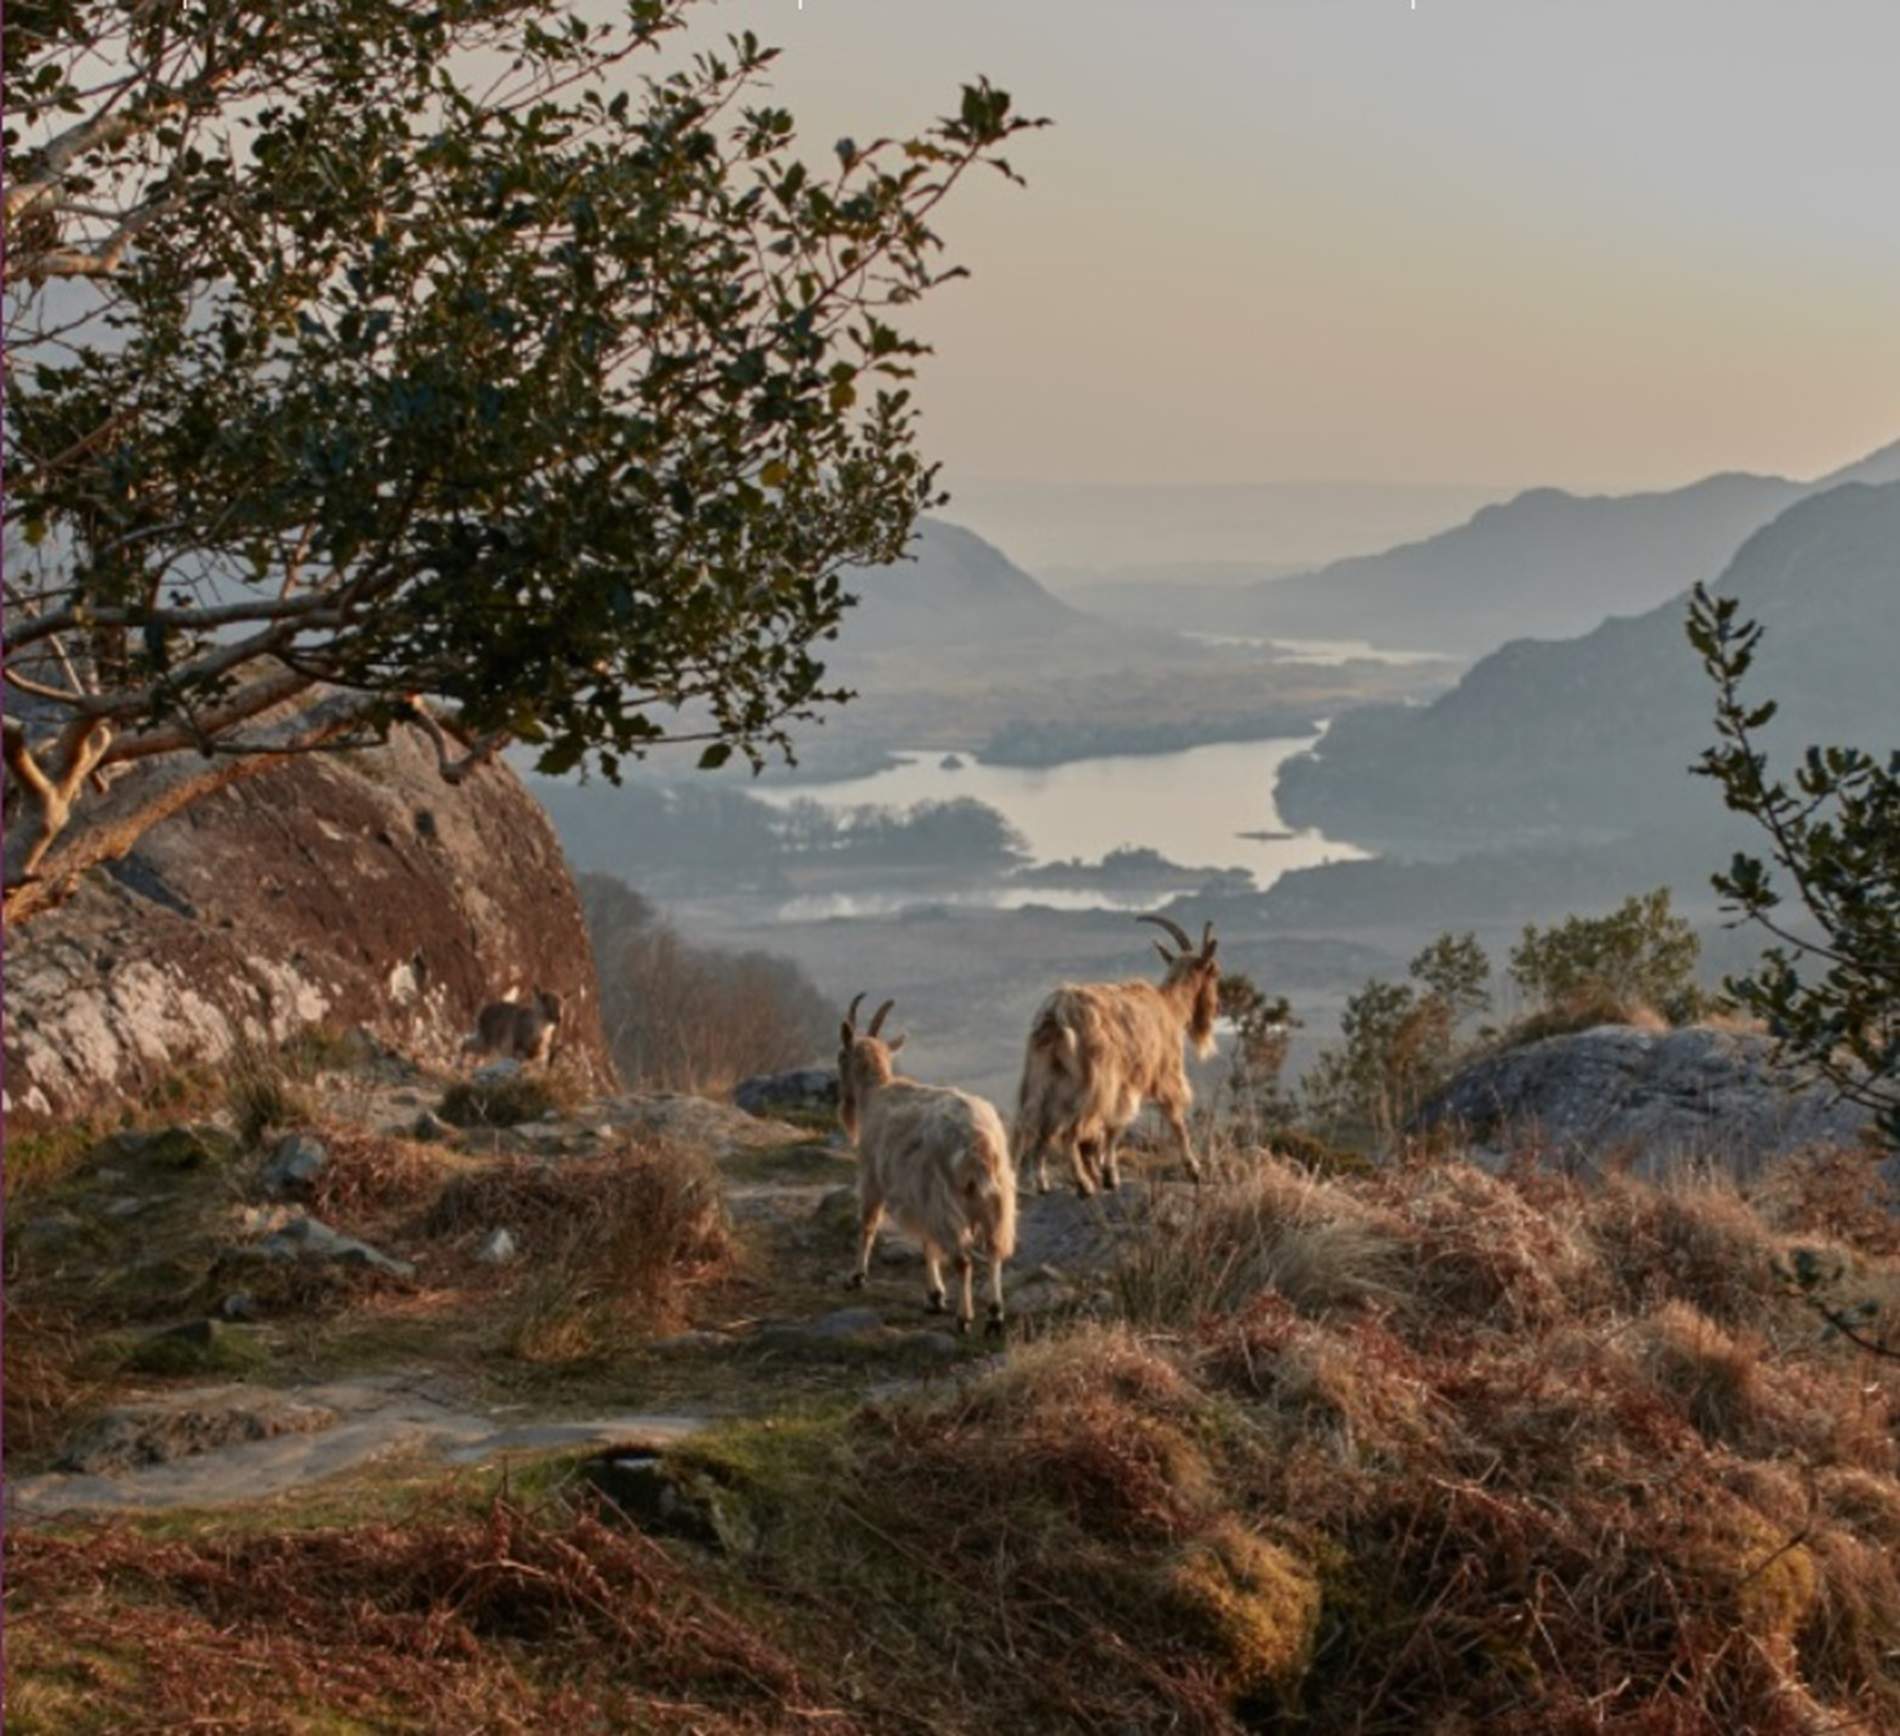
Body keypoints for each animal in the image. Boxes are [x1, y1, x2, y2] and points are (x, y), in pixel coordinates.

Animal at [839, 987, 1018, 1337]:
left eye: (841, 1057)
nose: (843, 1101)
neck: (877, 1092)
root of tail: (978, 1141)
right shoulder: (918, 1196)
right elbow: (927, 1241)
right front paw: (934, 1295)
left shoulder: (874, 1177)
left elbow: (869, 1223)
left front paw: (857, 1276)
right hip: (997, 1197)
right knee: (994, 1250)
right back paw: (994, 1314)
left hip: (945, 1197)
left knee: (963, 1258)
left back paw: (965, 1317)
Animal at [1018, 911, 1223, 1200]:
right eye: (1214, 971)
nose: (1217, 1007)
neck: (1170, 1006)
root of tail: (1056, 1013)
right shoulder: (1161, 1075)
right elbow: (1173, 1121)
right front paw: (1194, 1170)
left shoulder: (1125, 1083)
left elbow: (1114, 1128)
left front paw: (1109, 1175)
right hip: (1093, 1084)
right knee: (1069, 1131)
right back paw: (1083, 1184)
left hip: (1044, 1076)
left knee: (1040, 1126)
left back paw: (1042, 1182)